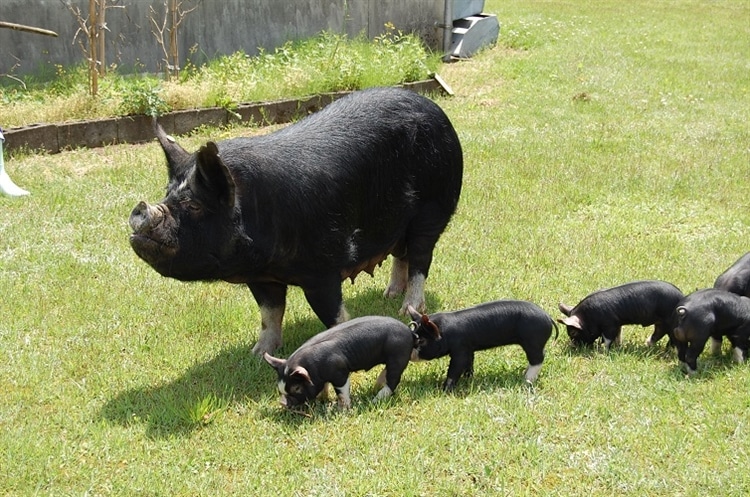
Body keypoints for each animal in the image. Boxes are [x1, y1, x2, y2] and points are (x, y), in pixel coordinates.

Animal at [132, 87, 468, 354]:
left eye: (194, 205)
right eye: (167, 195)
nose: (139, 211)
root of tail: (434, 108)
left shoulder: (324, 266)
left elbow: (332, 314)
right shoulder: (261, 277)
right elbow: (269, 314)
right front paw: (257, 354)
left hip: (433, 209)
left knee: (421, 260)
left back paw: (406, 307)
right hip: (399, 220)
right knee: (402, 254)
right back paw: (389, 294)